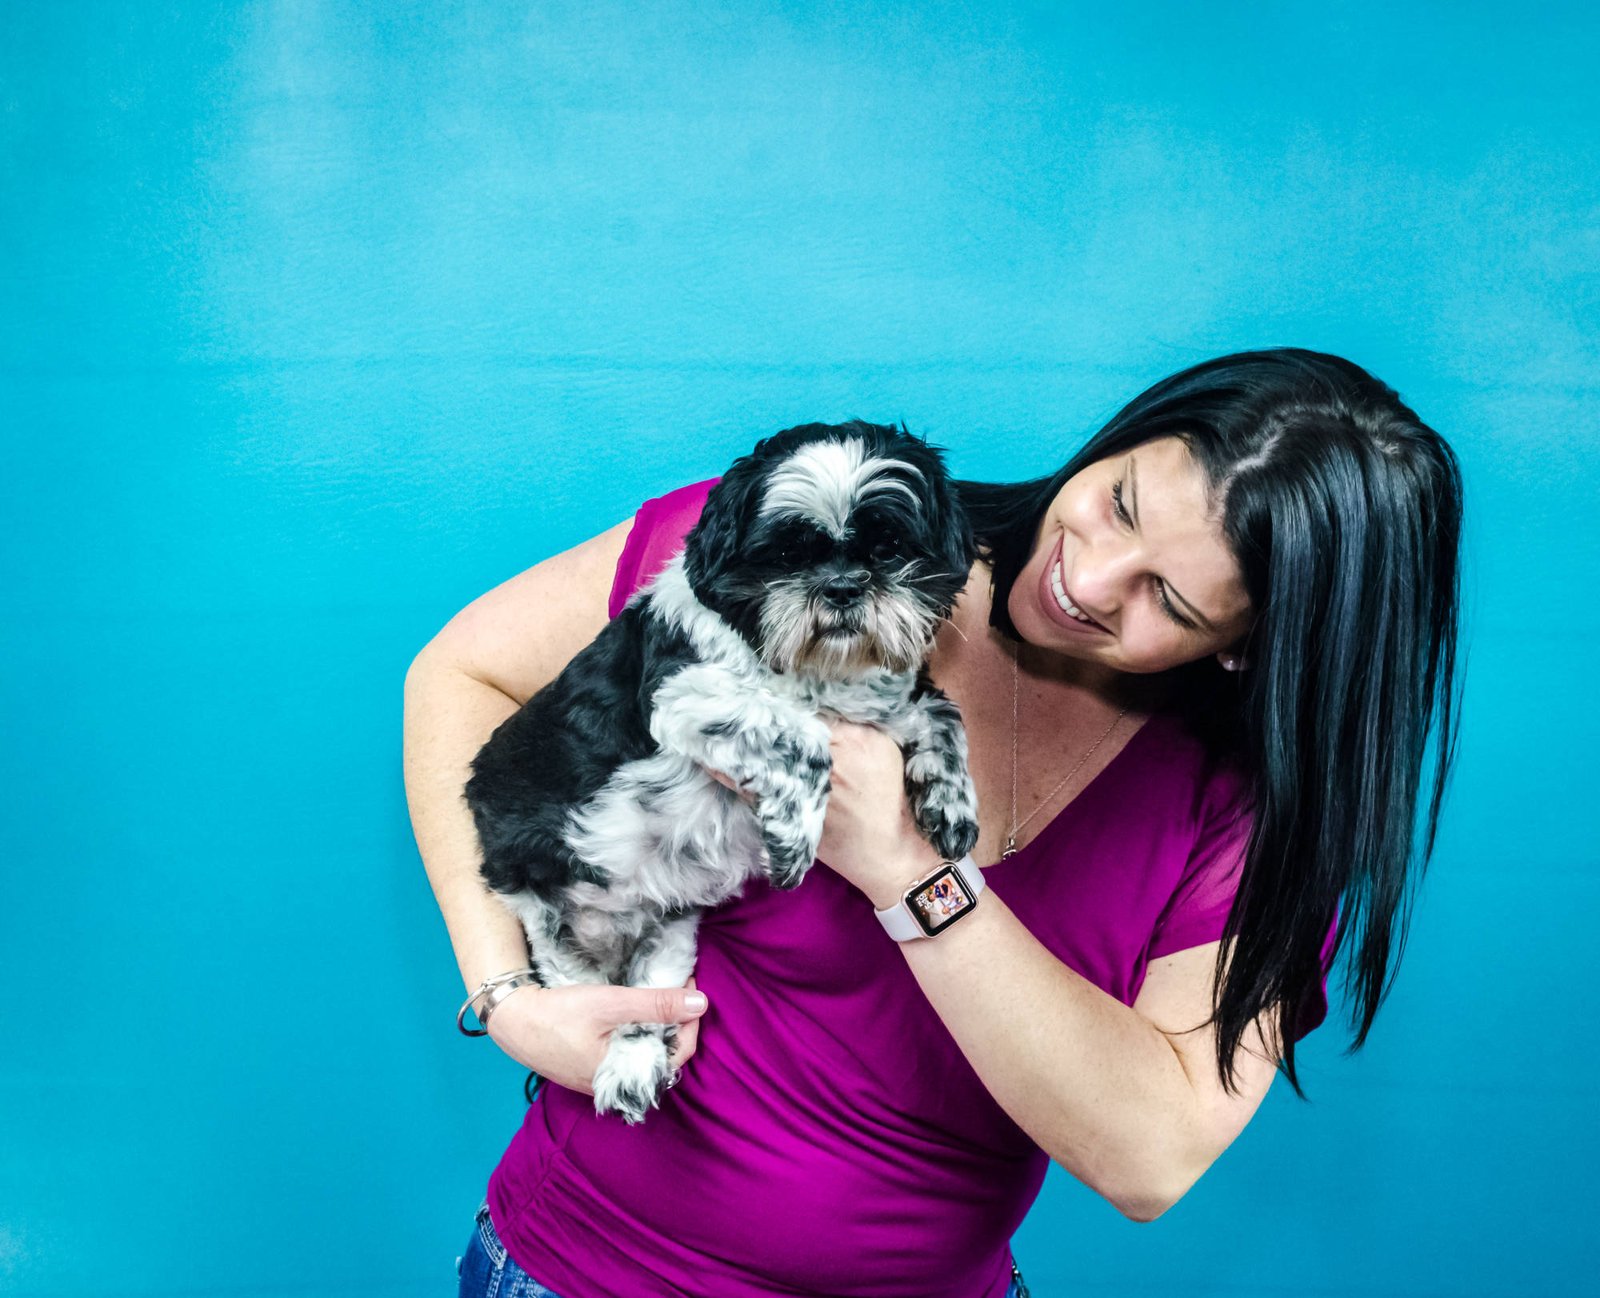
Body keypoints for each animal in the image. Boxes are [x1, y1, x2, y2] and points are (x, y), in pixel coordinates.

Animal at [465, 421, 981, 1123]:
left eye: (889, 547)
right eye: (786, 555)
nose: (844, 586)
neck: (820, 674)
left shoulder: (891, 703)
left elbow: (942, 714)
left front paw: (951, 806)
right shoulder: (685, 699)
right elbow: (807, 740)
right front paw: (792, 845)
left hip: (671, 937)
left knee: (643, 1001)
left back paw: (635, 1062)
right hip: (546, 920)